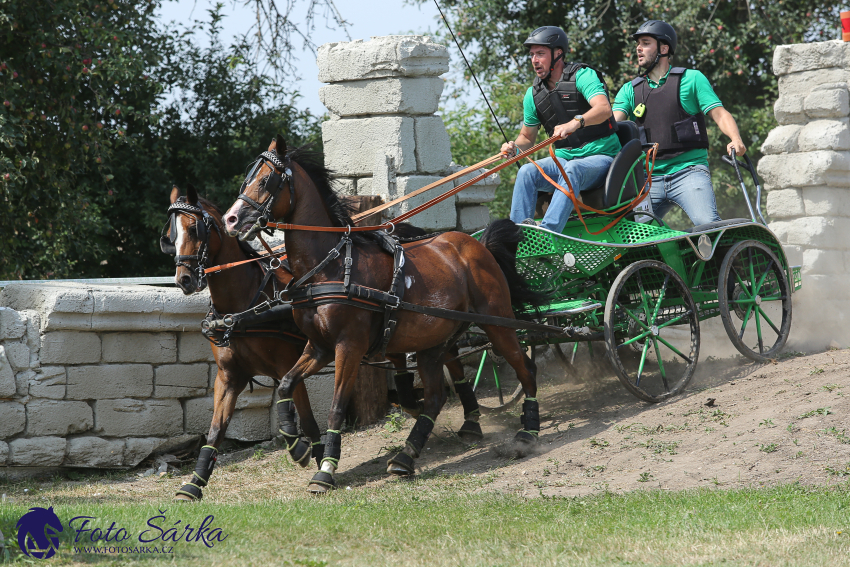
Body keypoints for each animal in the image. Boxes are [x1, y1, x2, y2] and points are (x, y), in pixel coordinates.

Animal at [163, 185, 324, 502]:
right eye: (171, 236)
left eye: (194, 228)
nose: (183, 280)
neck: (242, 308)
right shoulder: (229, 377)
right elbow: (215, 430)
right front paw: (194, 483)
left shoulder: (288, 367)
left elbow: (307, 418)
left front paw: (305, 451)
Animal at [222, 136, 544, 492]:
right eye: (246, 179)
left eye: (266, 180)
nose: (230, 219)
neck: (330, 267)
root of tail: (478, 245)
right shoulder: (318, 348)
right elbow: (286, 385)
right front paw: (297, 446)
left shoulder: (349, 347)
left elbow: (336, 408)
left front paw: (326, 469)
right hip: (435, 341)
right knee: (435, 397)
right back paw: (406, 456)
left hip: (498, 324)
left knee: (525, 367)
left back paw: (528, 432)